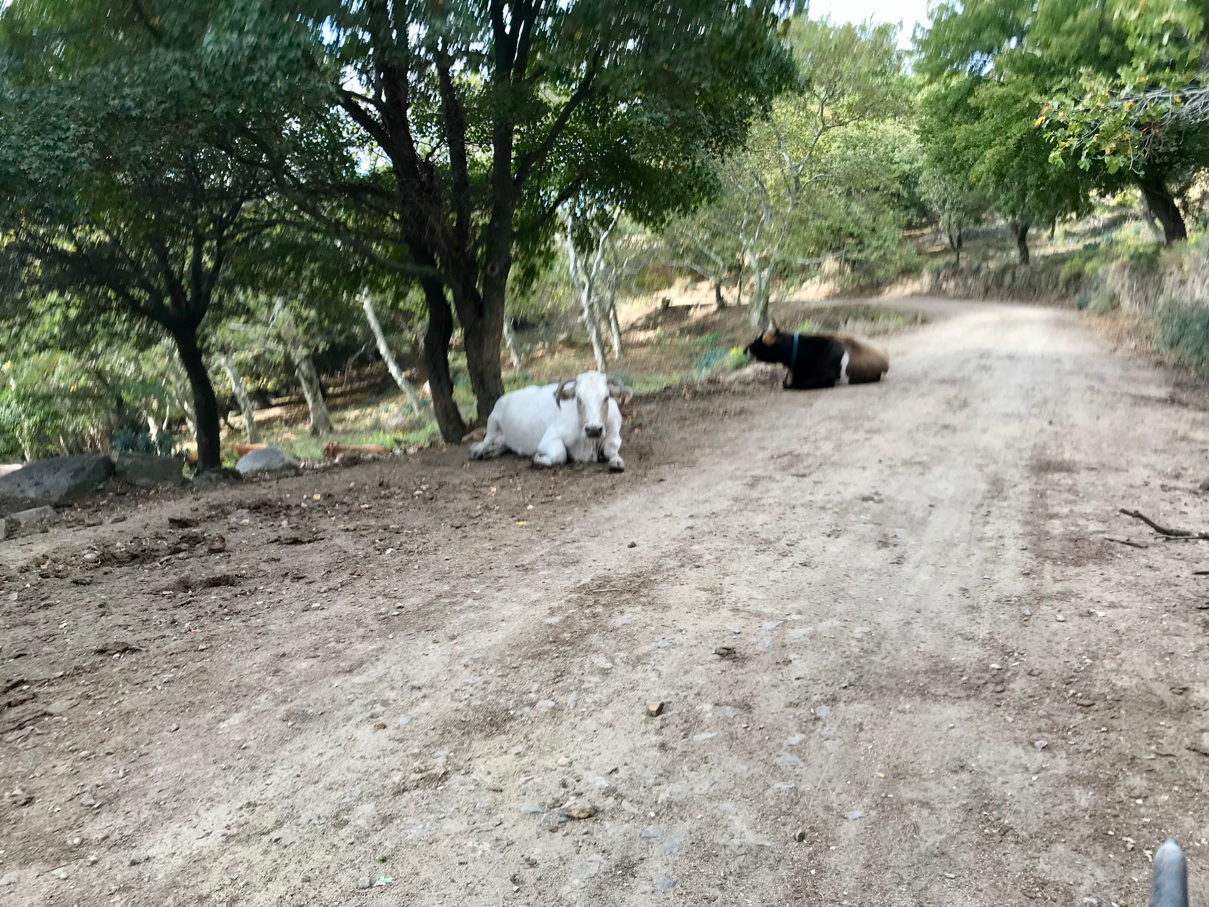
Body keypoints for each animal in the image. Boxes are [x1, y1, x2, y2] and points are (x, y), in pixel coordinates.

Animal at [466, 370, 633, 471]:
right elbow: (560, 454)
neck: (588, 444)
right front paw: (539, 458)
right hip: (492, 421)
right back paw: (479, 451)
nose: (593, 429)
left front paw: (617, 461)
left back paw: (489, 452)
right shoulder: (549, 438)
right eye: (579, 399)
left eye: (606, 398)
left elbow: (611, 450)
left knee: (502, 445)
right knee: (486, 440)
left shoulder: (614, 436)